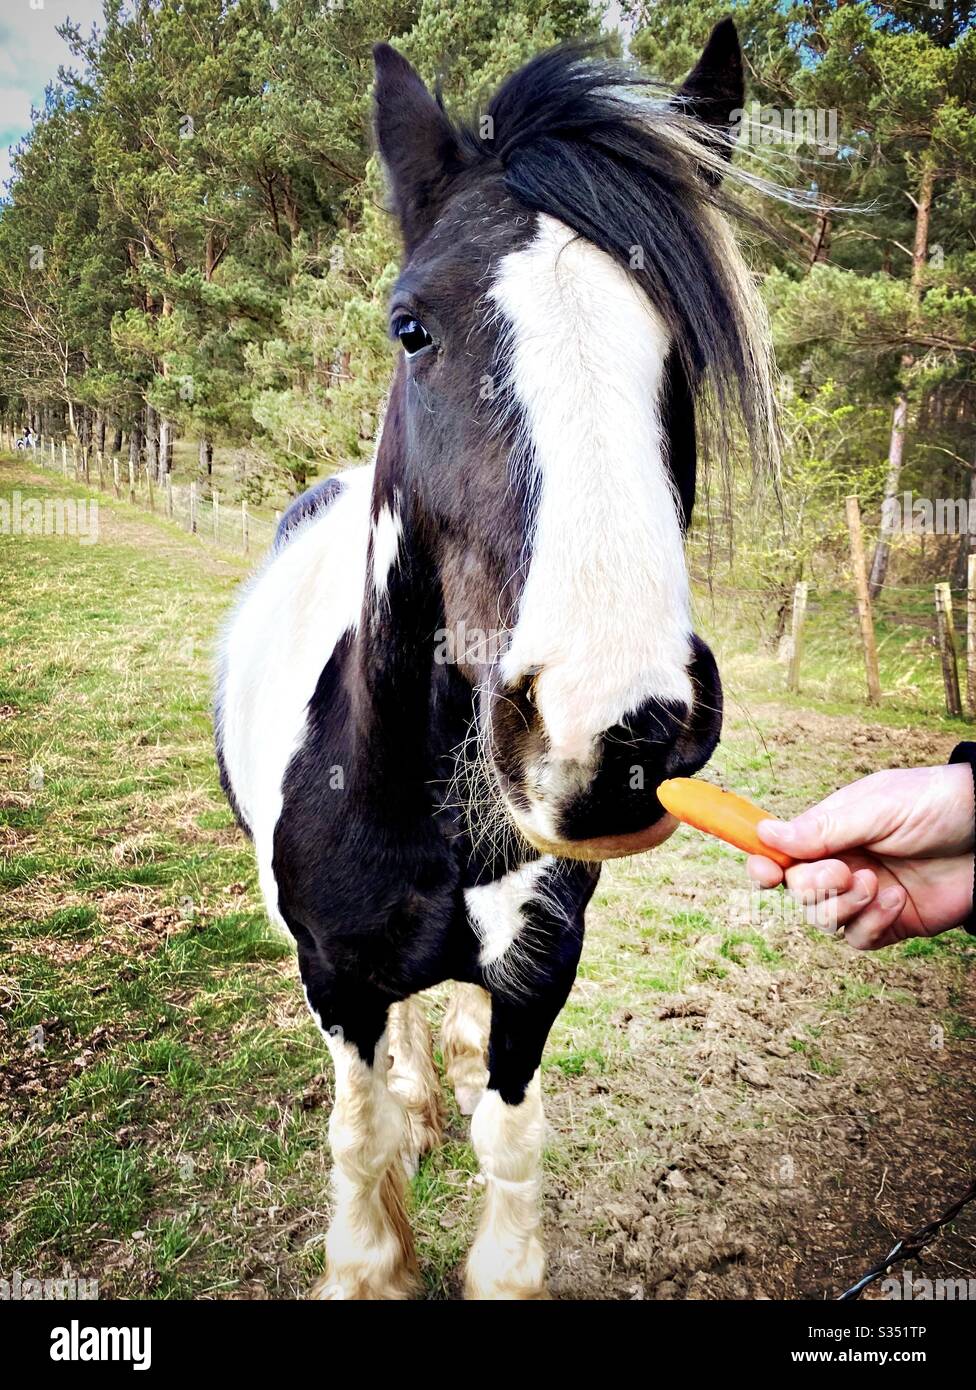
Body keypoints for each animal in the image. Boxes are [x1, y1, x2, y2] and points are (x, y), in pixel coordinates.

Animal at [216, 18, 777, 1300]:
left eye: (683, 346)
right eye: (410, 327)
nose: (618, 732)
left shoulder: (539, 968)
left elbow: (511, 1136)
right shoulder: (336, 976)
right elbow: (359, 1130)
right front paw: (373, 1246)